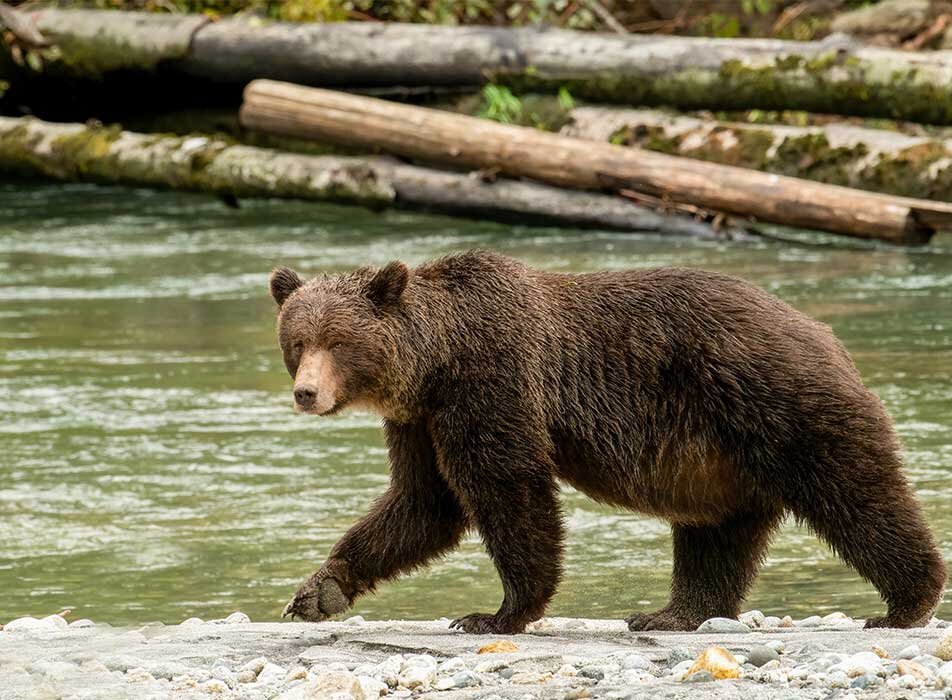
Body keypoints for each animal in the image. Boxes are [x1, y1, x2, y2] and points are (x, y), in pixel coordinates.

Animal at [268, 252, 944, 636]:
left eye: (337, 341)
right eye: (297, 341)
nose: (306, 392)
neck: (435, 363)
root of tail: (824, 333)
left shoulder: (492, 385)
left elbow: (507, 489)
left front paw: (496, 612)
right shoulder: (420, 421)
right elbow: (422, 503)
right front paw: (319, 591)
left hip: (777, 401)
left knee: (855, 493)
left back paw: (906, 602)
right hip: (719, 458)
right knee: (717, 535)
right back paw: (672, 613)